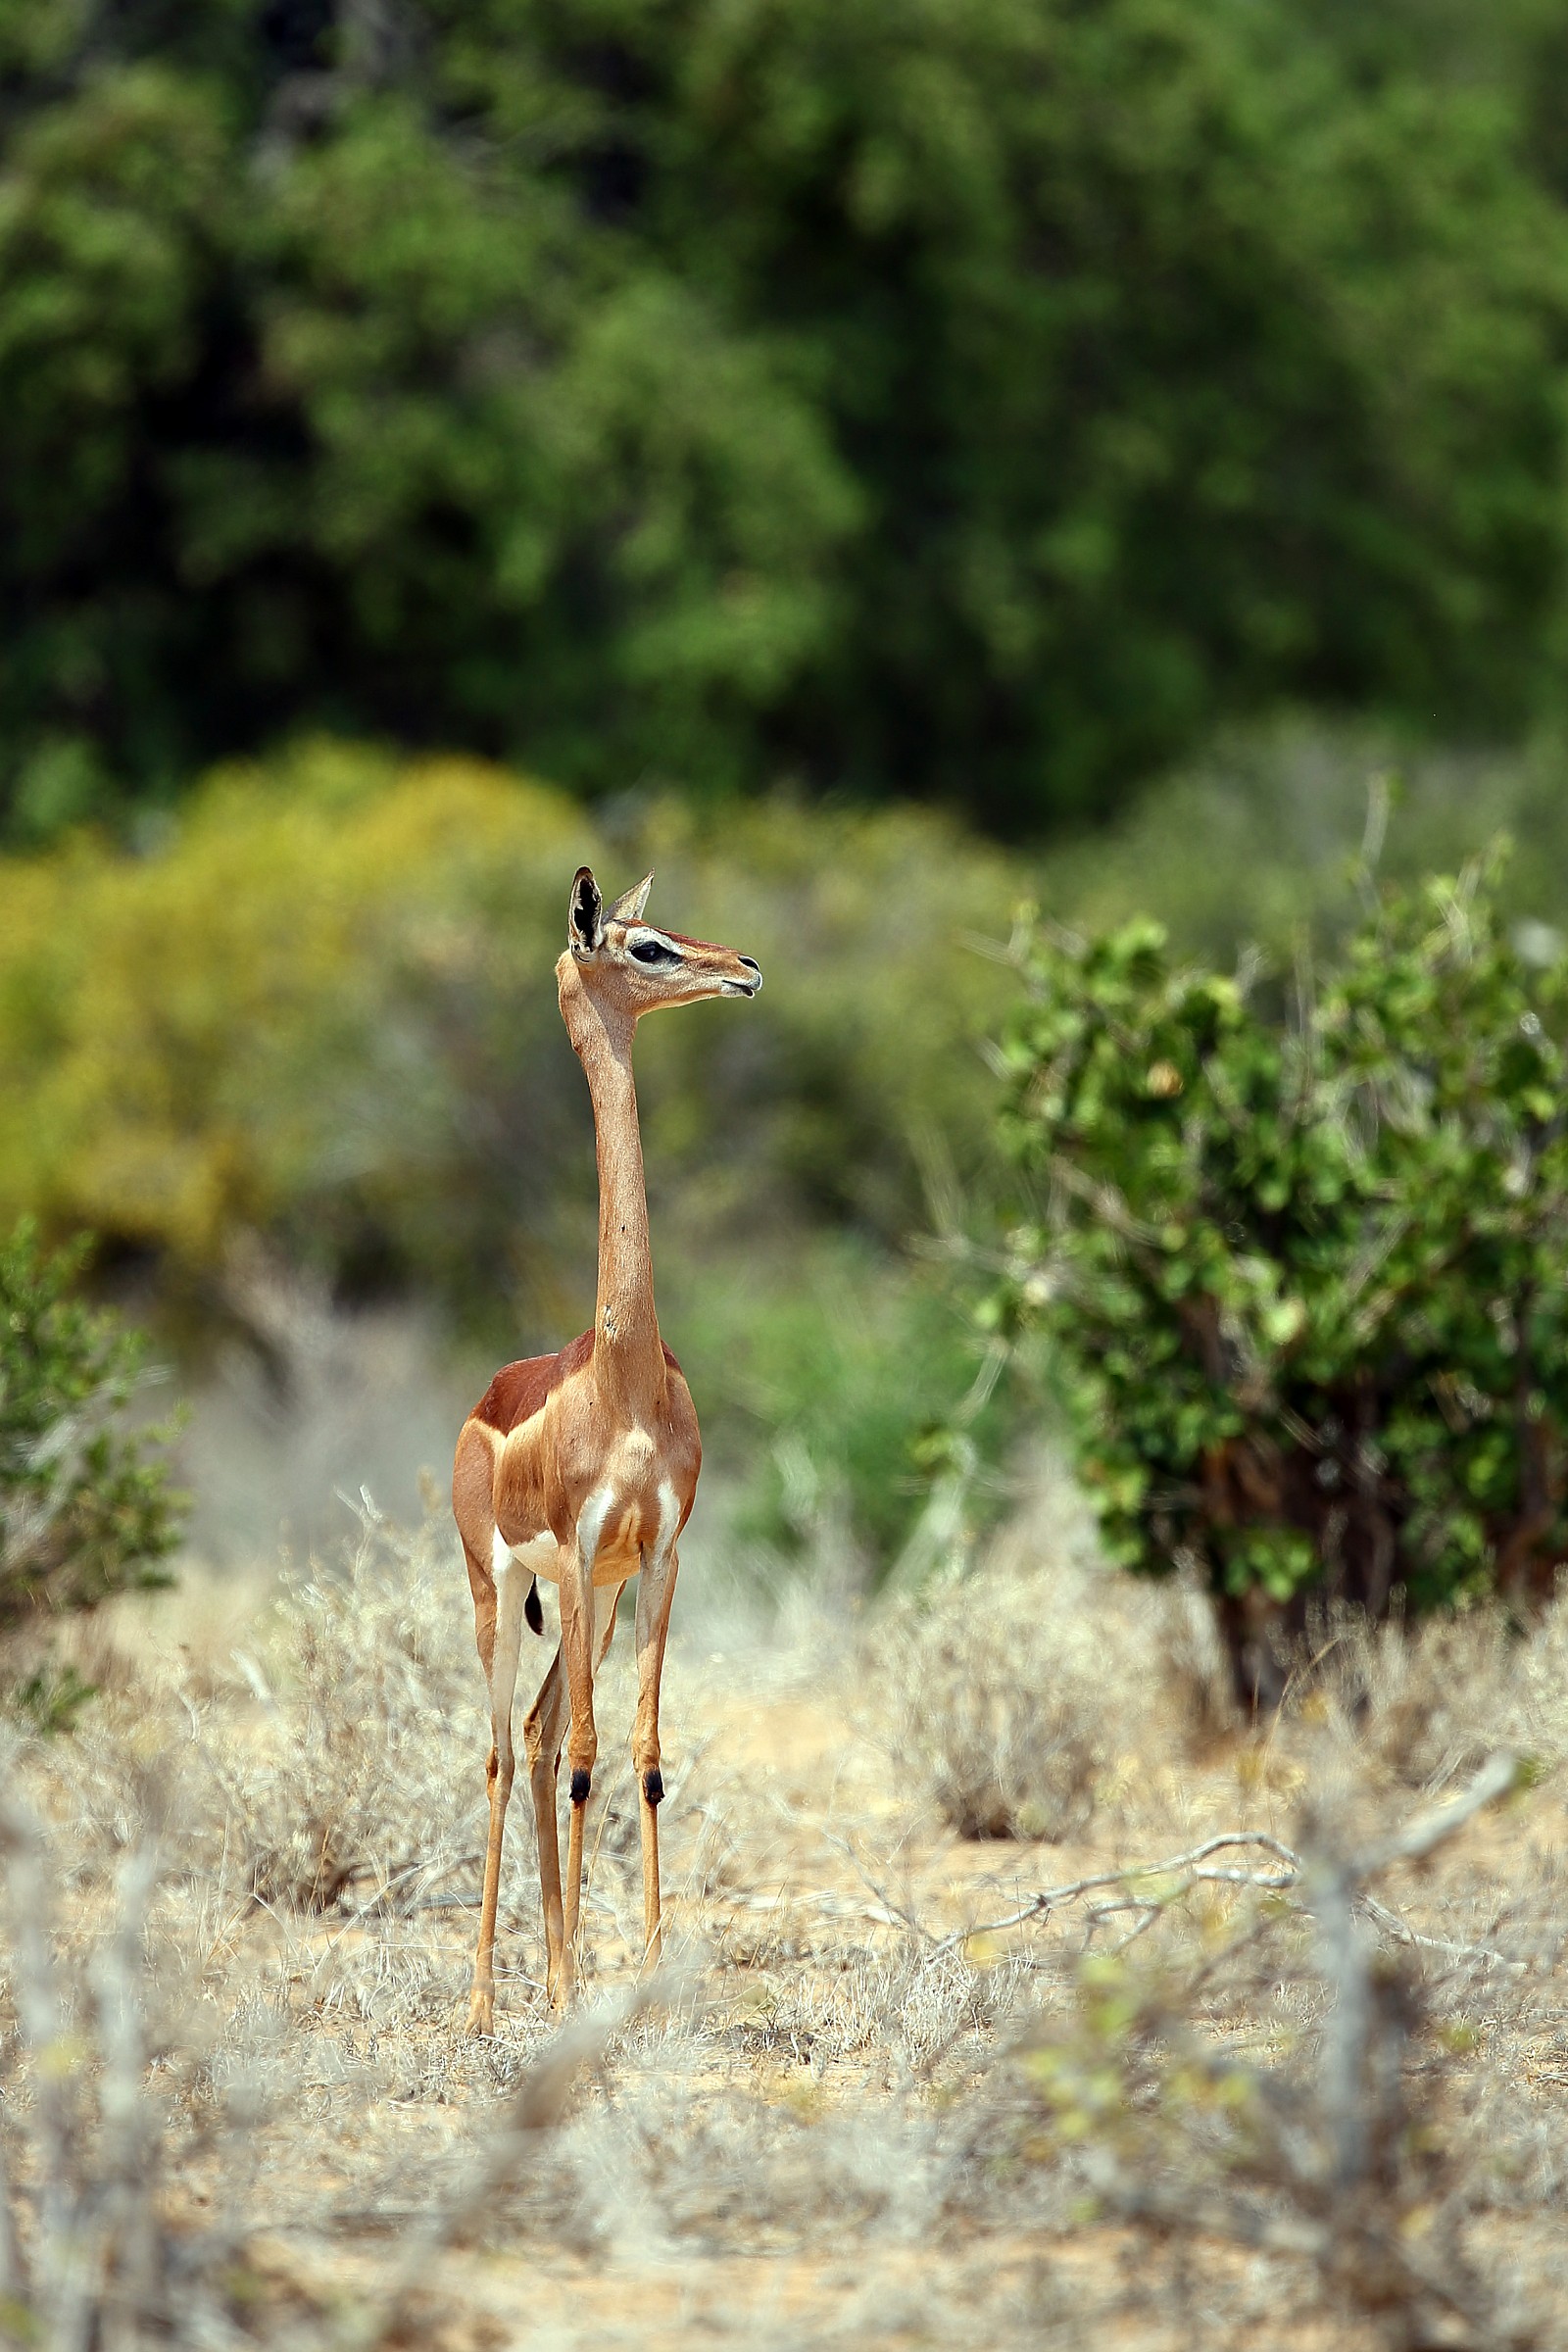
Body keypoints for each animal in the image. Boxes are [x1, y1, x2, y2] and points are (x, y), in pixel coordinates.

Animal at [452, 866, 761, 2030]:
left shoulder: (657, 1555)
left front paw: (642, 1976)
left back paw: (548, 1974)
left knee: (540, 1741)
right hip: (501, 1589)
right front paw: (583, 1983)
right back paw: (486, 2001)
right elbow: (588, 1755)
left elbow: (643, 1753)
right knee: (506, 1752)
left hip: (597, 1598)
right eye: (645, 945)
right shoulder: (582, 1552)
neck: (622, 1374)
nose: (742, 967)